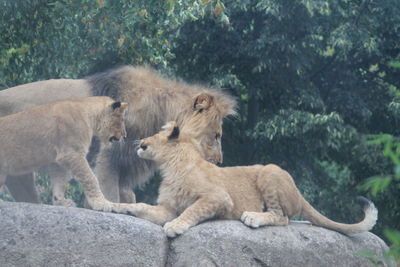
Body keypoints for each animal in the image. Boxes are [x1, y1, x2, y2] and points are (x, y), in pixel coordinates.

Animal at [0, 66, 236, 204]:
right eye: (216, 135)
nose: (219, 161)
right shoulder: (108, 158)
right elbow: (110, 193)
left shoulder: (127, 164)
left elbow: (128, 196)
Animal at [113, 122, 378, 239]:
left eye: (154, 135)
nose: (139, 141)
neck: (170, 166)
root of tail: (299, 194)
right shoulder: (167, 207)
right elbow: (143, 207)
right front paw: (121, 209)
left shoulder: (219, 197)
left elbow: (192, 210)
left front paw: (175, 226)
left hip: (270, 171)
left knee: (281, 218)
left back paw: (253, 217)